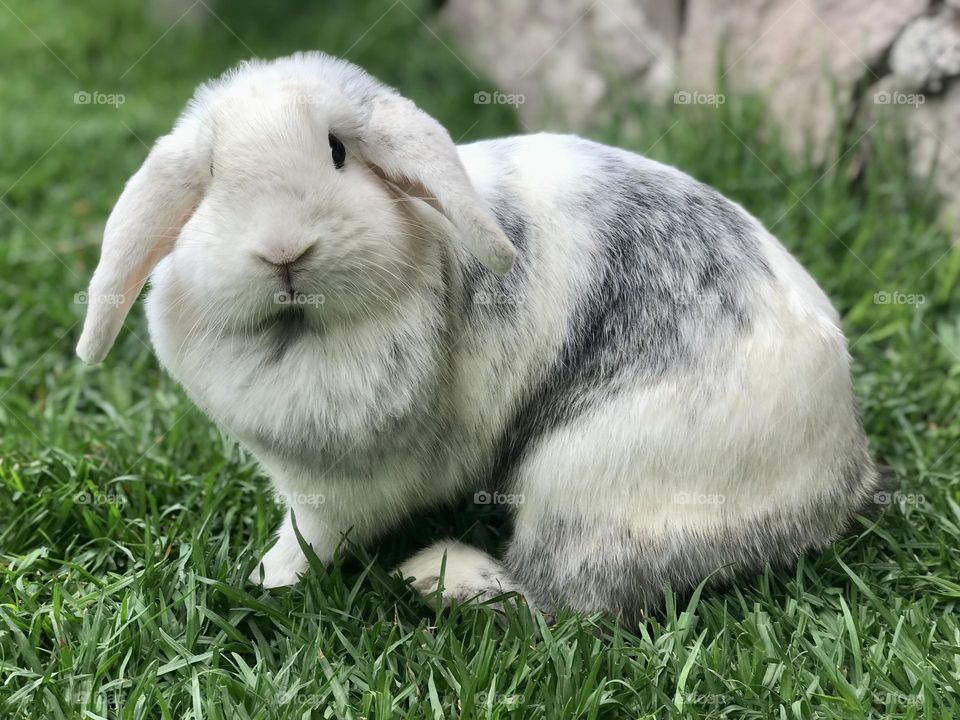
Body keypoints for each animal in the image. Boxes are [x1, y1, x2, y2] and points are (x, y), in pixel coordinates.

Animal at [77, 52, 883, 622]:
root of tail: (836, 480)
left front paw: (267, 579)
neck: (300, 332)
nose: (284, 251)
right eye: (213, 174)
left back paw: (434, 574)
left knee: (560, 600)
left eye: (337, 152)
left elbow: (311, 537)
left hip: (583, 482)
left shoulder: (338, 491)